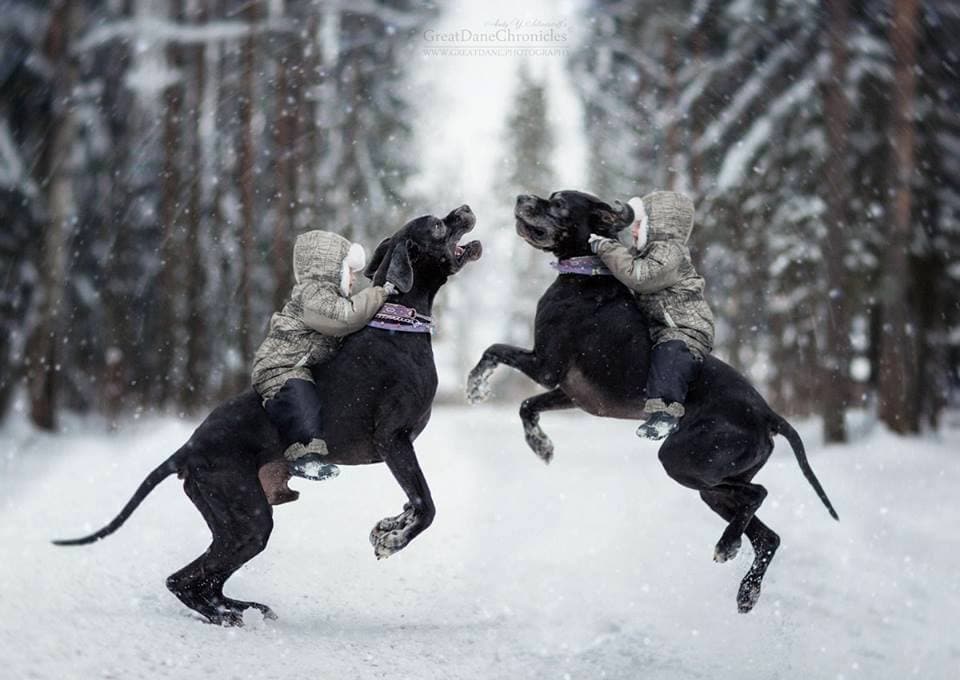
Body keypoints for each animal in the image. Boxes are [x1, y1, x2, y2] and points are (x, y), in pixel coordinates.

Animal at [52, 207, 484, 628]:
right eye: (437, 225)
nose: (464, 208)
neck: (399, 323)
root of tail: (188, 448)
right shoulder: (394, 440)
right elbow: (426, 504)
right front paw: (393, 541)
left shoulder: (398, 449)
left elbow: (412, 502)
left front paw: (389, 528)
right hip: (249, 519)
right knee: (184, 580)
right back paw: (230, 616)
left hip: (237, 522)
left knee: (203, 580)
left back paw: (241, 609)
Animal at [468, 190, 836, 612]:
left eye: (559, 203)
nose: (522, 197)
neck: (586, 274)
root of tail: (767, 412)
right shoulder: (572, 394)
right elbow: (527, 406)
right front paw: (540, 445)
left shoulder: (545, 366)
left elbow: (494, 349)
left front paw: (475, 385)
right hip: (712, 485)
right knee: (765, 533)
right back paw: (747, 589)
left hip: (684, 461)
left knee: (758, 495)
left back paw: (728, 546)